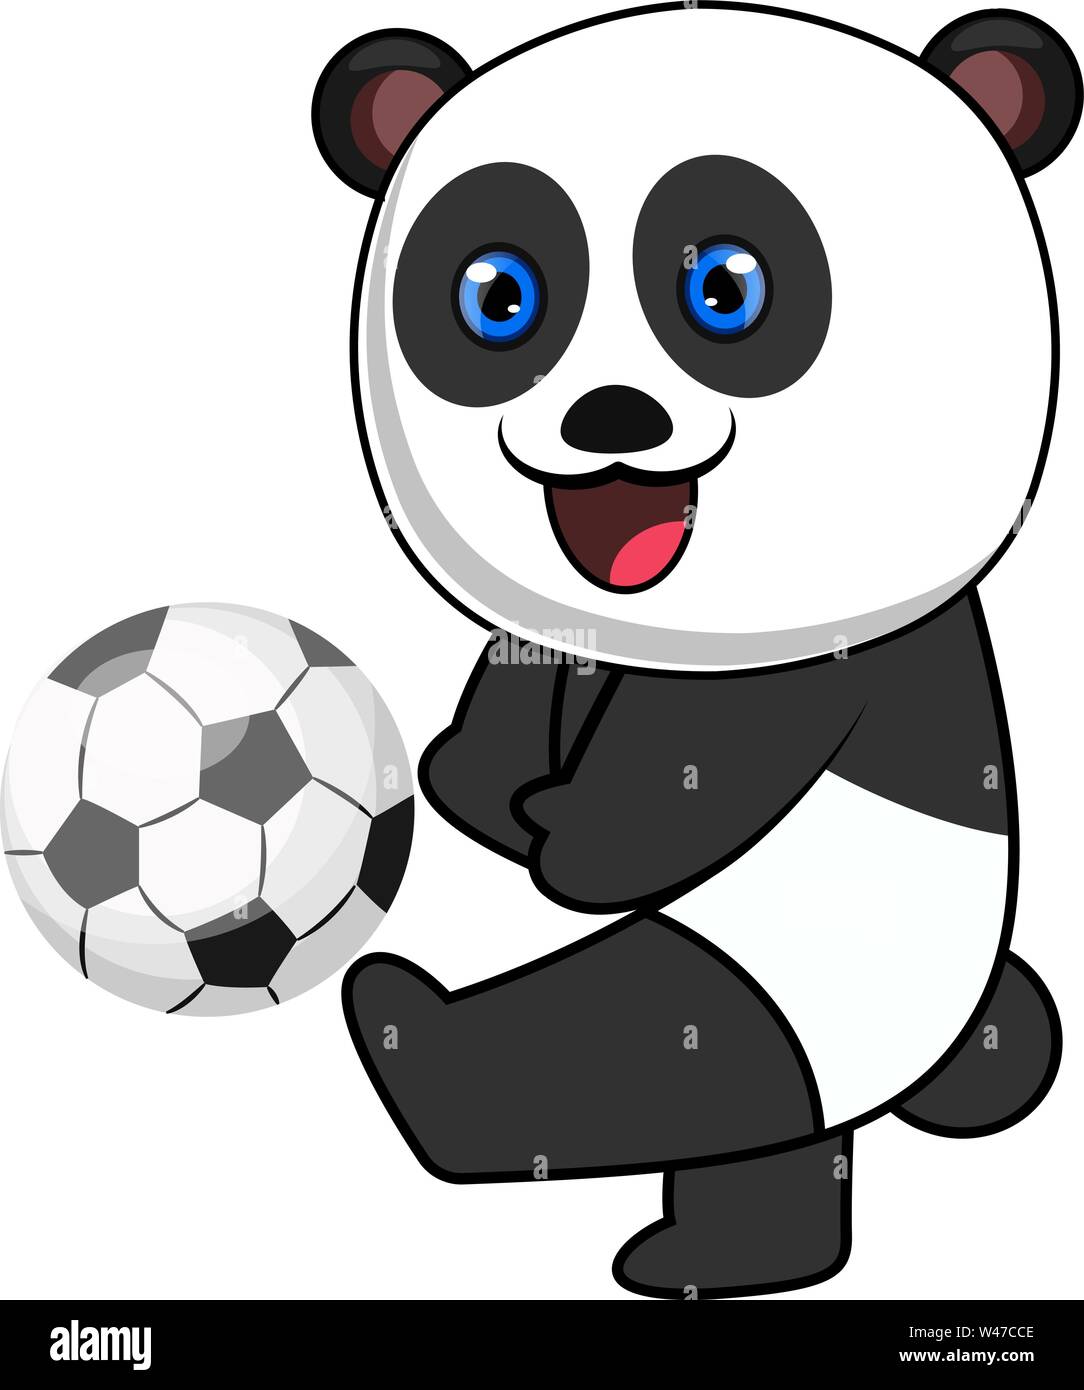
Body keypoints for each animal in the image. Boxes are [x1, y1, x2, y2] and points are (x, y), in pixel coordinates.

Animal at [312, 5, 1079, 1298]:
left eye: (727, 288)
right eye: (497, 296)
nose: (610, 419)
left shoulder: (810, 669)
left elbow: (681, 788)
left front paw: (563, 843)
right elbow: (529, 691)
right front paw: (484, 783)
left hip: (801, 979)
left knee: (651, 1041)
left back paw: (407, 1034)